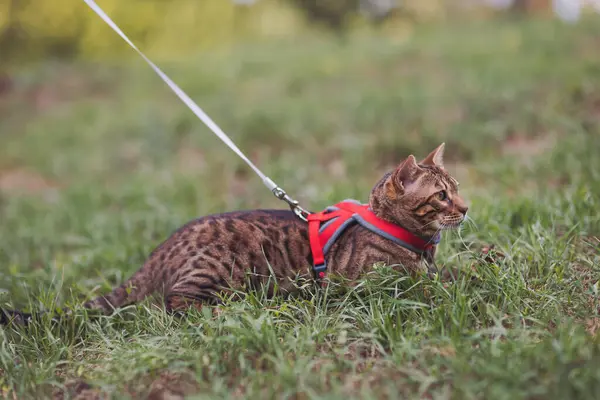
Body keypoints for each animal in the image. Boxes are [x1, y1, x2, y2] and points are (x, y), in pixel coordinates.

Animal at [0, 144, 468, 324]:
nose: (466, 208)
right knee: (175, 303)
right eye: (442, 195)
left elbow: (449, 275)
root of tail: (162, 247)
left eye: (458, 188)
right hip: (222, 266)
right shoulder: (370, 283)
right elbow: (428, 286)